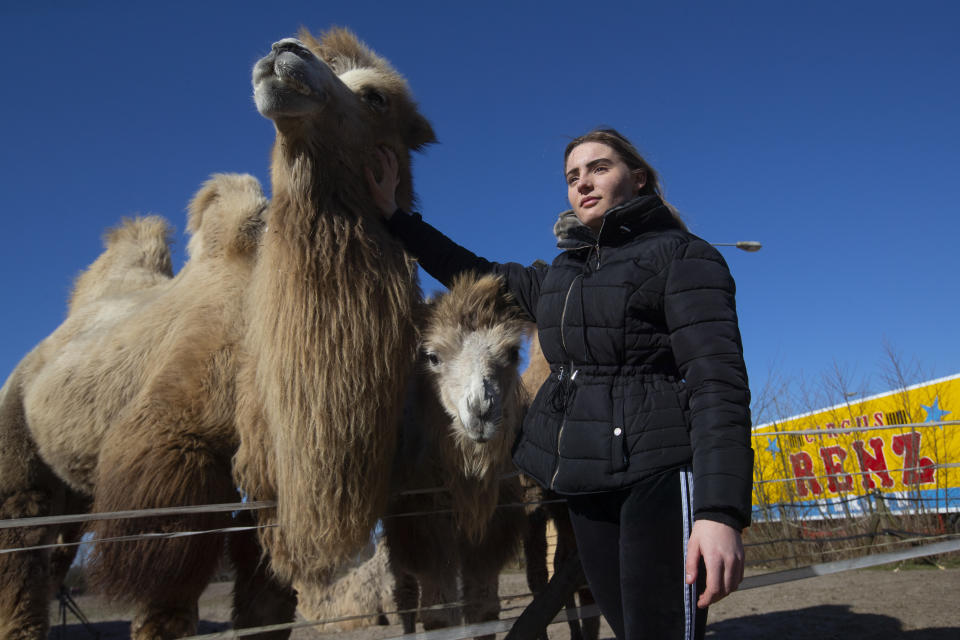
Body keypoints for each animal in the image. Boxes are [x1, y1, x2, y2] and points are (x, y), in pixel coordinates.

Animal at [0, 175, 280, 640]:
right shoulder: (179, 435)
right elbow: (169, 566)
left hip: (74, 485)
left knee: (56, 548)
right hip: (15, 427)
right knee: (23, 530)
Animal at [378, 276, 528, 640]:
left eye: (513, 353)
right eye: (432, 356)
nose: (481, 410)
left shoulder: (492, 527)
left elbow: (484, 611)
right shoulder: (422, 521)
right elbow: (438, 617)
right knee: (405, 594)